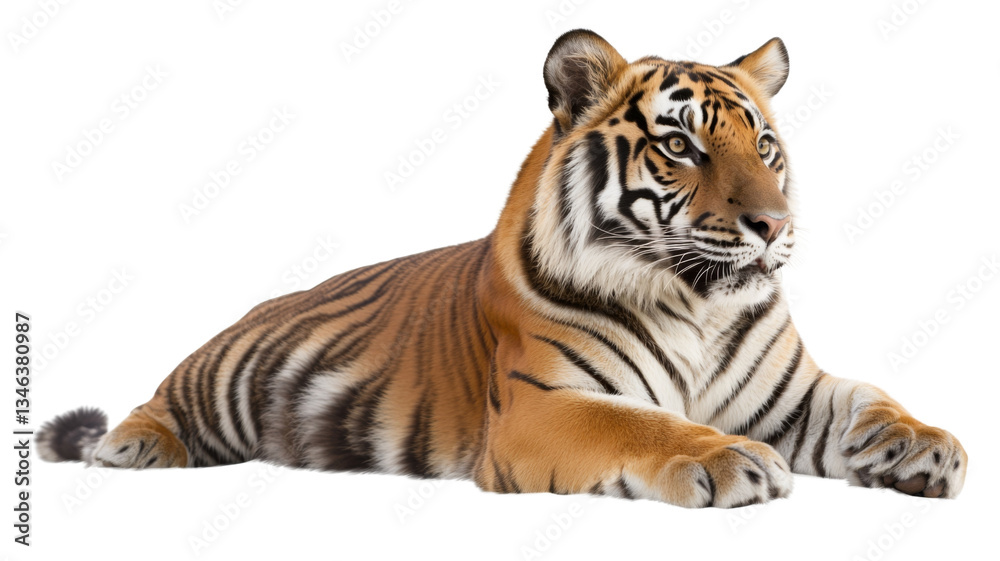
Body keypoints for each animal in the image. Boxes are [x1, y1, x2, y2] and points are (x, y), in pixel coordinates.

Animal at [39, 29, 966, 508]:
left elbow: (868, 398)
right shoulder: (540, 402)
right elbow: (642, 424)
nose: (773, 225)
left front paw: (931, 447)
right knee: (166, 394)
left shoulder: (794, 391)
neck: (698, 304)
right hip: (224, 366)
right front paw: (733, 460)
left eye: (765, 146)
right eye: (681, 147)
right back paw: (131, 448)